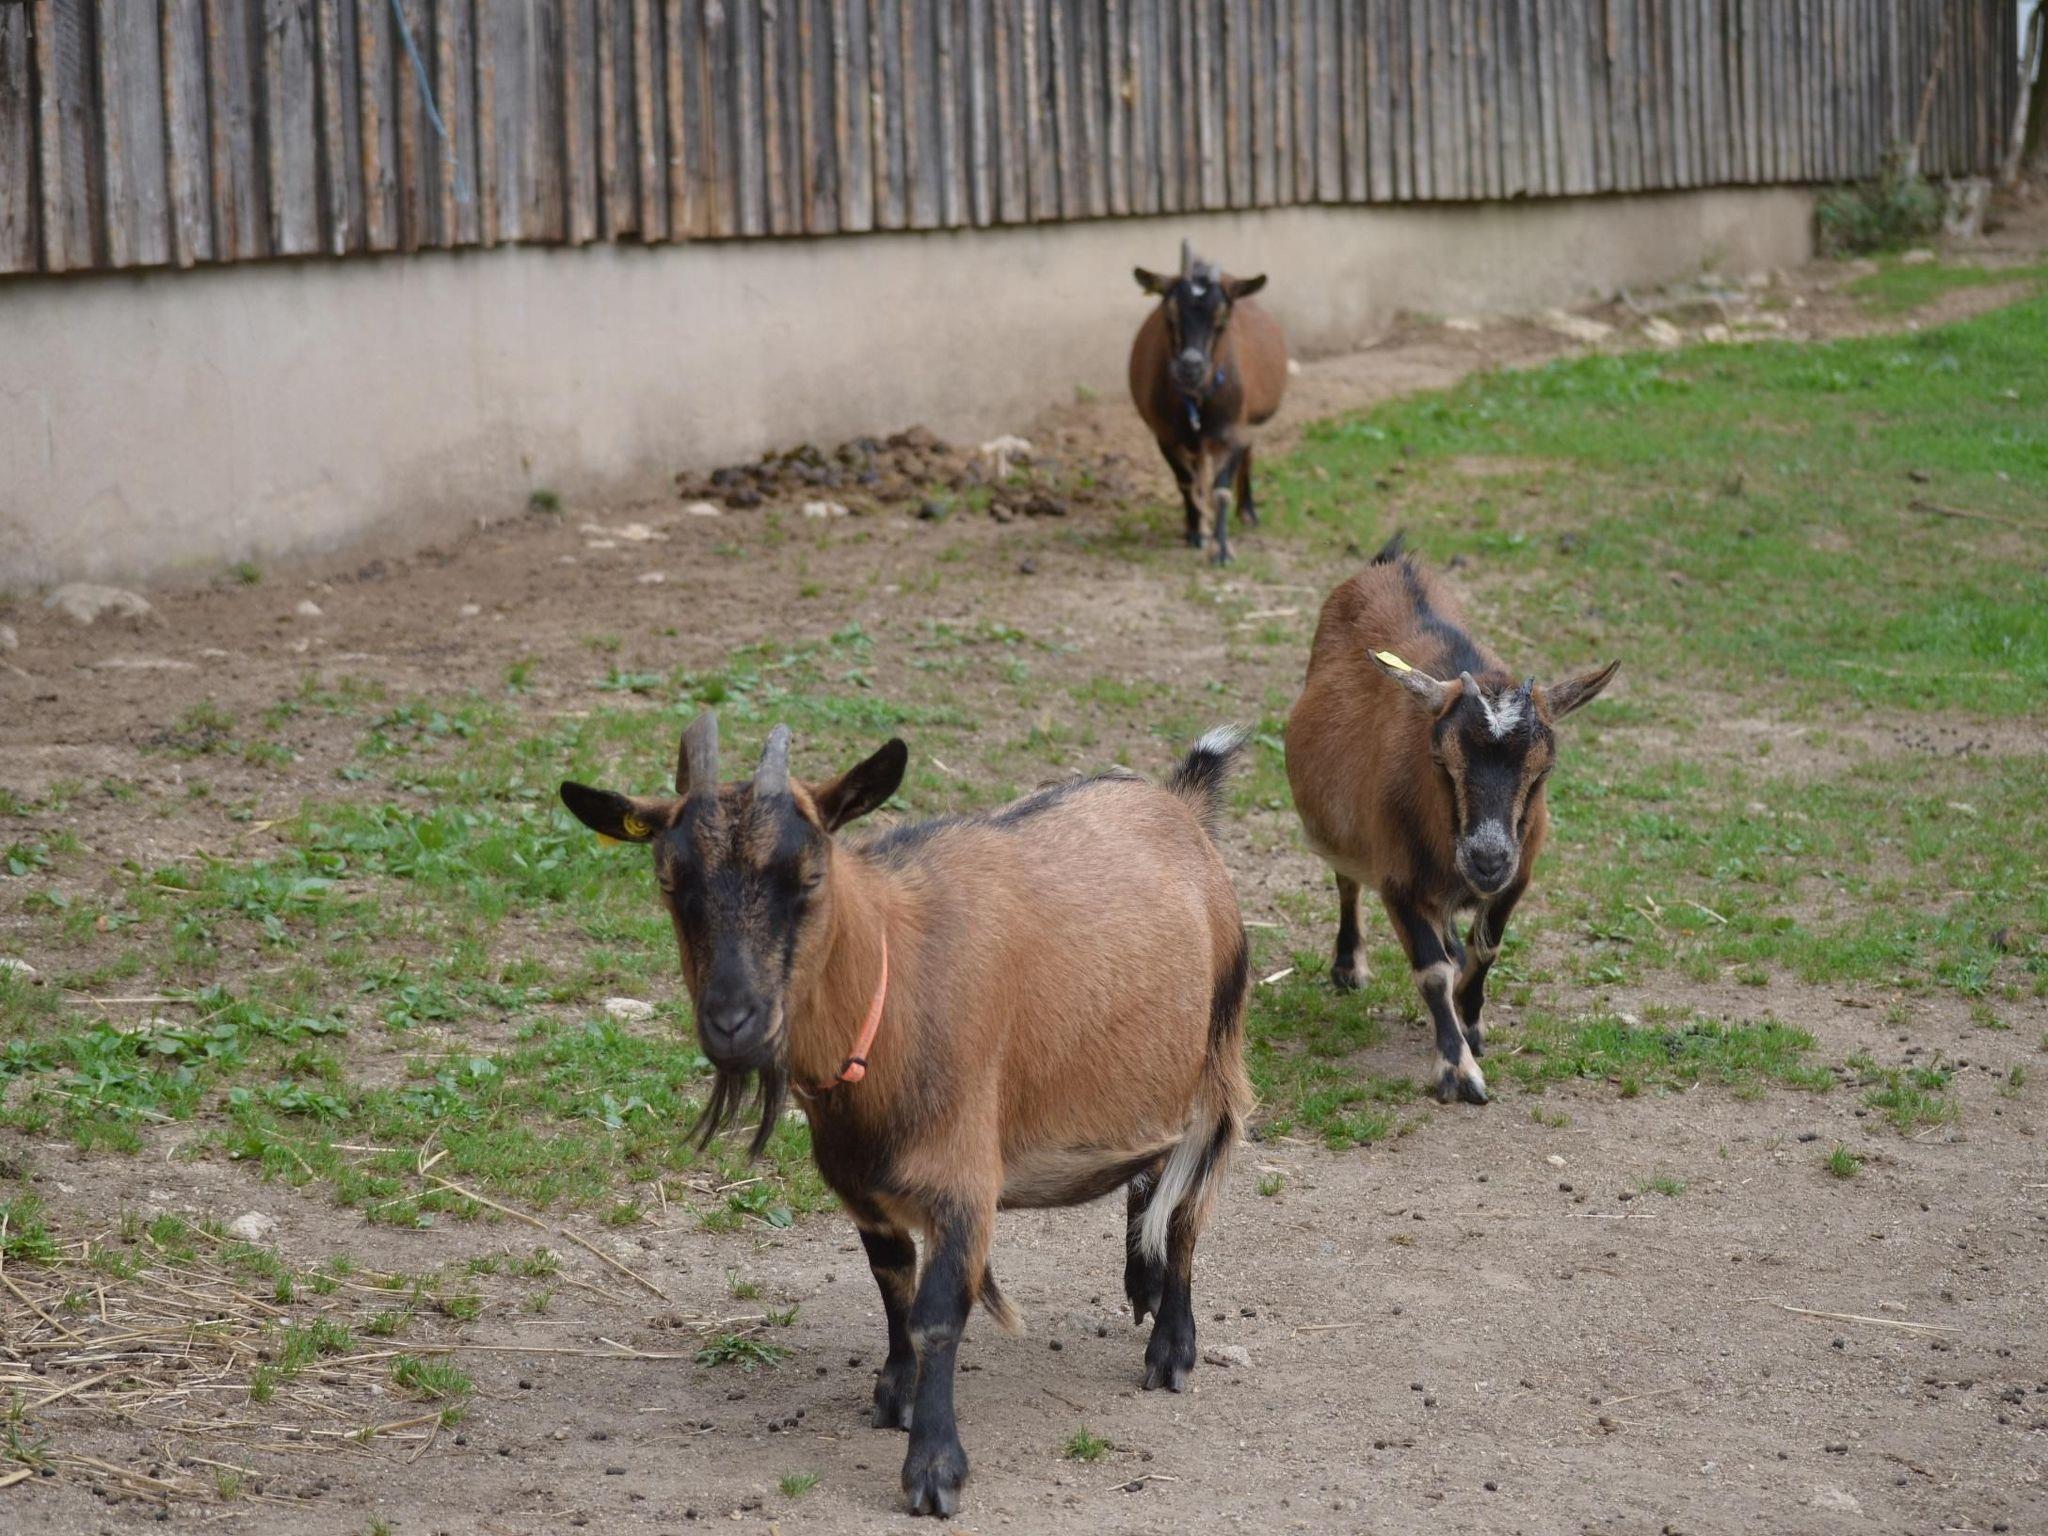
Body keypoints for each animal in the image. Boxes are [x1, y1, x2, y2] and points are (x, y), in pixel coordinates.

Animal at [559, 713, 1252, 1516]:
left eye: (810, 876)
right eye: (671, 884)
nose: (733, 1021)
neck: (891, 990)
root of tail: (1183, 806)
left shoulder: (964, 1178)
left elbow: (936, 1316)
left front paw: (934, 1468)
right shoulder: (860, 1184)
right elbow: (891, 1283)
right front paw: (895, 1394)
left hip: (1218, 1066)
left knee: (1190, 1207)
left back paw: (1171, 1347)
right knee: (1153, 1176)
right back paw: (1142, 1284)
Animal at [1130, 239, 1288, 564]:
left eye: (1222, 319)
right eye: (1169, 315)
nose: (1191, 367)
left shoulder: (1232, 431)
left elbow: (1221, 489)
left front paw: (1222, 549)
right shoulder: (1166, 436)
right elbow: (1186, 482)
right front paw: (1196, 533)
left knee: (1247, 454)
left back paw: (1248, 512)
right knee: (1199, 468)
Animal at [1283, 535, 1618, 1106]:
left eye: (1543, 770)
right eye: (1441, 760)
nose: (1486, 860)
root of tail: (1392, 563)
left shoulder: (1517, 878)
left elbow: (1487, 949)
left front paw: (1472, 1021)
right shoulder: (1399, 879)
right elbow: (1431, 972)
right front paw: (1458, 1071)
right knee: (1347, 883)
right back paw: (1348, 967)